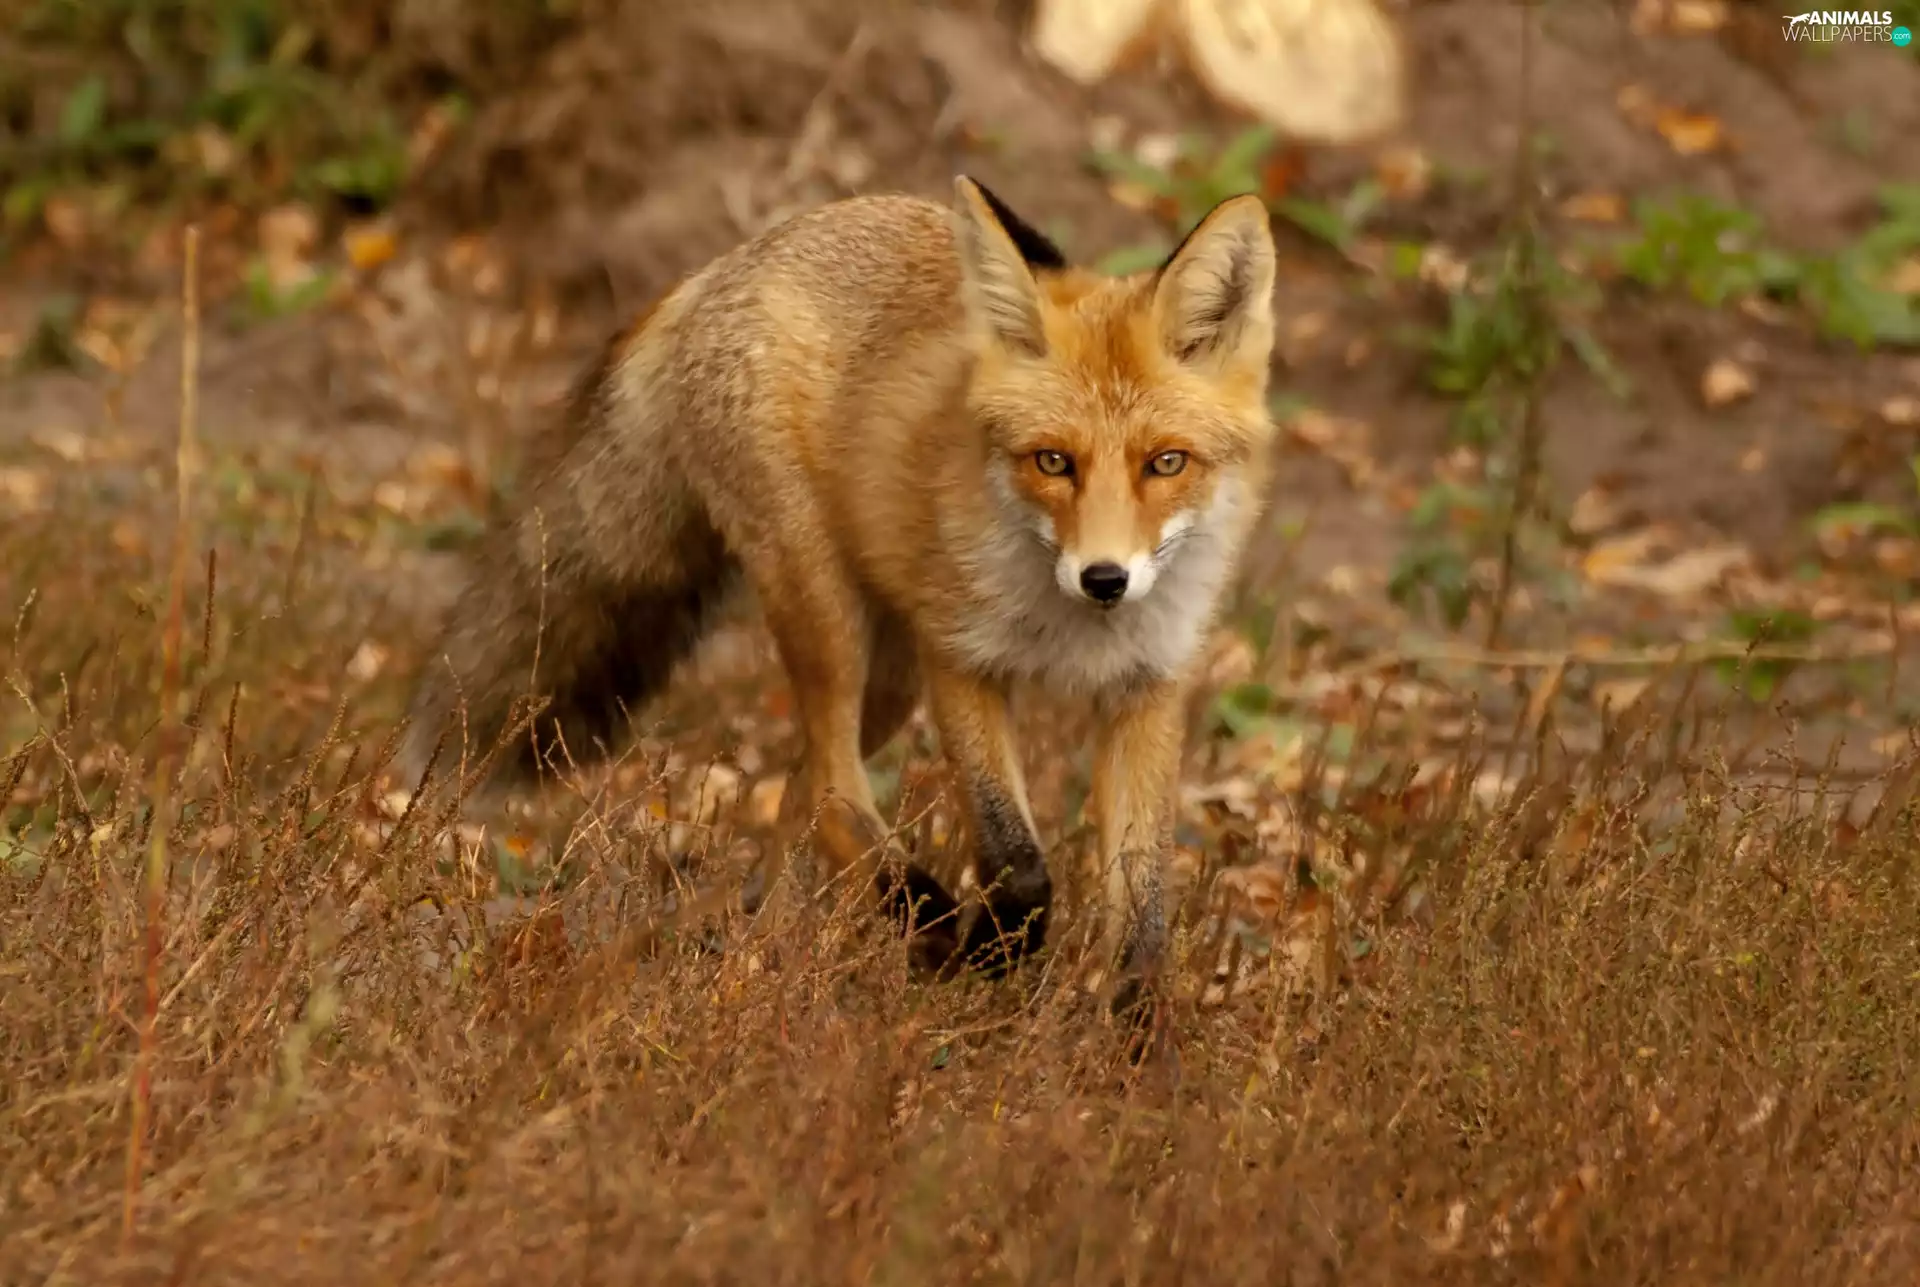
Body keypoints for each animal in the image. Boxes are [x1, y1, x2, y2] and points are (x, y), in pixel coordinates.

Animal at [395, 175, 1279, 1025]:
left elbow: (1145, 917)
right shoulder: (961, 657)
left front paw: (1137, 1048)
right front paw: (993, 947)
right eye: (1052, 461)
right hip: (831, 617)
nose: (1104, 577)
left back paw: (763, 949)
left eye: (1167, 462)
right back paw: (920, 920)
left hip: (887, 679)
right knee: (830, 785)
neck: (1074, 633)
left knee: (807, 780)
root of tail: (728, 264)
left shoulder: (1147, 689)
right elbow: (1016, 859)